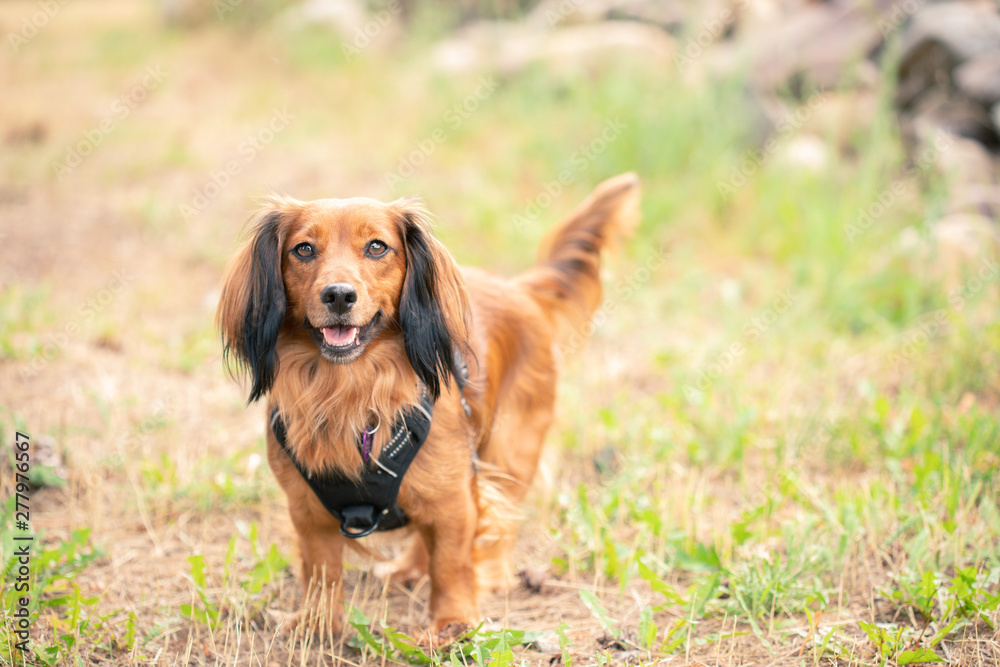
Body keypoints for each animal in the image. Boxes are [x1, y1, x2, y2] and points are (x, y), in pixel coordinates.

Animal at [217, 175, 640, 640]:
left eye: (377, 247)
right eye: (304, 249)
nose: (339, 296)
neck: (351, 393)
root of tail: (517, 289)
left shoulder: (457, 497)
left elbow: (451, 563)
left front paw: (454, 621)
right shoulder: (308, 511)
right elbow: (321, 571)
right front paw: (318, 623)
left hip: (509, 452)